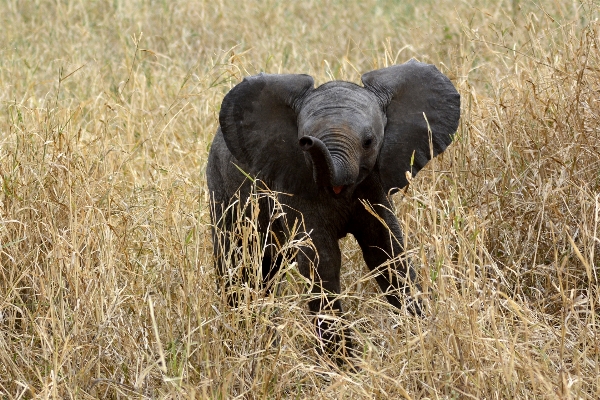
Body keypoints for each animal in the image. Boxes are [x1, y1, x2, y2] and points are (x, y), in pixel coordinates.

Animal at [206, 58, 460, 362]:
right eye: (302, 141)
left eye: (368, 142)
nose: (308, 141)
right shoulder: (295, 185)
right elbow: (322, 259)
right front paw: (343, 366)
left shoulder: (374, 182)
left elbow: (387, 250)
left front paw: (422, 336)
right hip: (222, 191)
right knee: (240, 263)